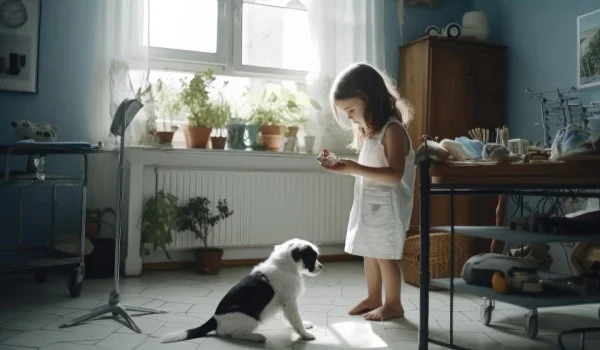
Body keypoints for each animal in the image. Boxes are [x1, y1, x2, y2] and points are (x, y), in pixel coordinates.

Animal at [162, 237, 324, 344]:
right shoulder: (289, 302)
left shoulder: (285, 304)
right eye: (314, 256)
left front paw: (305, 325)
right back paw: (256, 337)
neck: (284, 266)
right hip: (251, 318)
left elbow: (293, 319)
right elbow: (296, 320)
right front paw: (305, 335)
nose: (321, 267)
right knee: (234, 335)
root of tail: (214, 319)